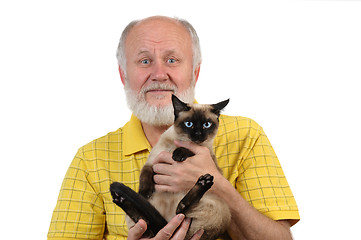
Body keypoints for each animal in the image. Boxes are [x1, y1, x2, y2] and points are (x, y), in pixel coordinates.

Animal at [109, 94, 232, 239]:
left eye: (206, 125)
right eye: (189, 124)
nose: (198, 135)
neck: (176, 143)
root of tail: (168, 222)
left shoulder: (205, 153)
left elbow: (188, 149)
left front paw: (178, 155)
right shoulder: (152, 162)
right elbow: (145, 176)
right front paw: (144, 193)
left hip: (218, 206)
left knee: (181, 210)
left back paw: (203, 182)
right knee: (147, 225)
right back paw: (121, 200)